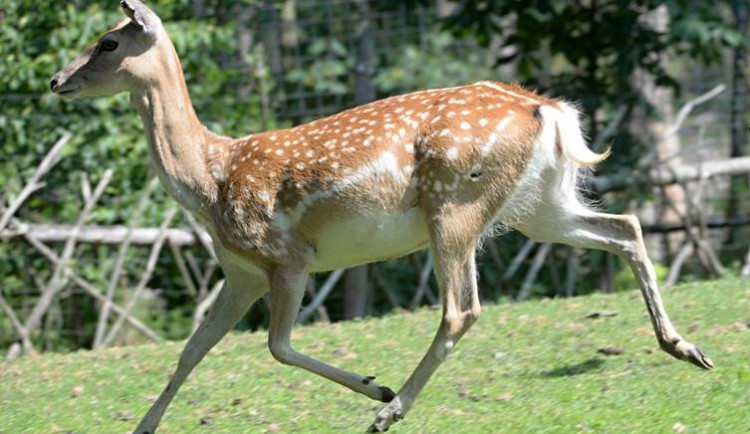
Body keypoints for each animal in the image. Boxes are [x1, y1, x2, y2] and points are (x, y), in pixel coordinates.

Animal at [50, 1, 712, 432]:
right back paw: (685, 347)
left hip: (454, 203)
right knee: (625, 226)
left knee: (462, 308)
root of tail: (548, 110)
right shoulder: (239, 270)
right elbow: (190, 351)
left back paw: (390, 411)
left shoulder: (288, 257)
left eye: (107, 42)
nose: (58, 79)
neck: (211, 177)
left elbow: (276, 346)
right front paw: (142, 428)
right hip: (539, 205)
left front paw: (376, 385)